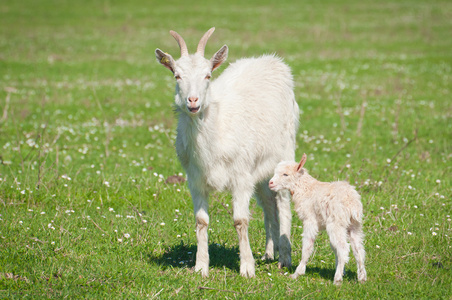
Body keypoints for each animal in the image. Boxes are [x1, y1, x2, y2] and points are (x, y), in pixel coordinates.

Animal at [155, 27, 300, 276]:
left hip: (284, 152)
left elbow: (240, 220)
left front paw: (247, 268)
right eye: (177, 76)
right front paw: (201, 267)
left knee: (282, 201)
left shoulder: (241, 176)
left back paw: (285, 258)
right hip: (260, 170)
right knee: (268, 204)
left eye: (207, 76)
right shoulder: (195, 179)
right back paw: (269, 253)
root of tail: (272, 61)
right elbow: (201, 221)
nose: (193, 101)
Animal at [268, 154, 368, 284]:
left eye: (285, 174)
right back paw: (362, 278)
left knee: (344, 248)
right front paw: (343, 271)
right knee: (358, 249)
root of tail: (352, 203)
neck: (305, 188)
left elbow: (307, 246)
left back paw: (337, 280)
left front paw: (297, 273)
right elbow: (334, 248)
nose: (270, 183)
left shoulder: (310, 220)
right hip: (354, 225)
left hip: (336, 223)